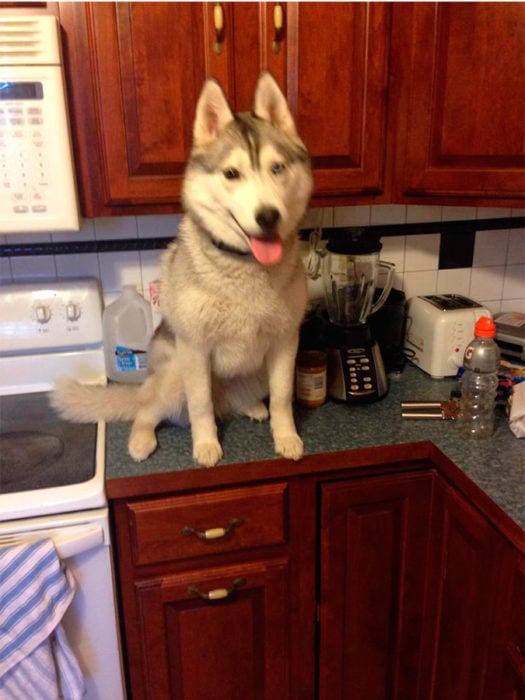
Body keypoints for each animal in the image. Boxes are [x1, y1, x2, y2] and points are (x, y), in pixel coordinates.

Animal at [52, 72, 312, 464]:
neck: (246, 266)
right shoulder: (195, 349)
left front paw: (286, 437)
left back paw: (252, 406)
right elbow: (200, 404)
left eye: (277, 168)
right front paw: (206, 445)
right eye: (231, 173)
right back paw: (141, 440)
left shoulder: (285, 342)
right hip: (174, 373)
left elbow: (283, 397)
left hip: (256, 372)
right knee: (152, 410)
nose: (268, 216)